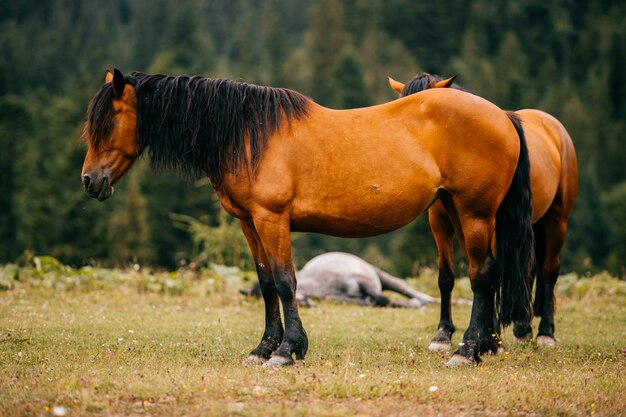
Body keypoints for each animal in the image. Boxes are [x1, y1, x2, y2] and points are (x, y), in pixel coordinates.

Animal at [239, 250, 434, 306]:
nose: (307, 303)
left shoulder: (361, 280)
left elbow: (381, 298)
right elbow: (372, 302)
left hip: (380, 276)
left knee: (408, 290)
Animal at [388, 73, 576, 350]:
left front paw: (489, 333)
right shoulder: (442, 225)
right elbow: (447, 277)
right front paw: (444, 333)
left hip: (557, 220)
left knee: (549, 270)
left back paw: (546, 332)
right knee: (528, 267)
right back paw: (522, 327)